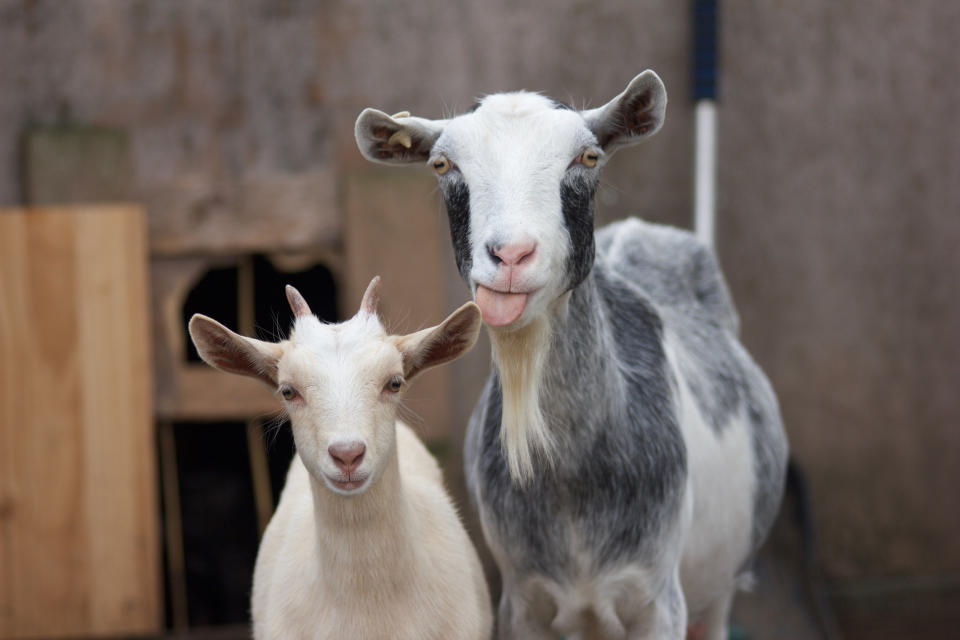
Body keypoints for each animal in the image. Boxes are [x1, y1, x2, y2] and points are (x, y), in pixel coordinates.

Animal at [352, 71, 788, 640]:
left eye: (588, 157)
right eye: (443, 165)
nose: (511, 255)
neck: (571, 483)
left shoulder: (659, 601)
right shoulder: (521, 600)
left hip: (718, 593)